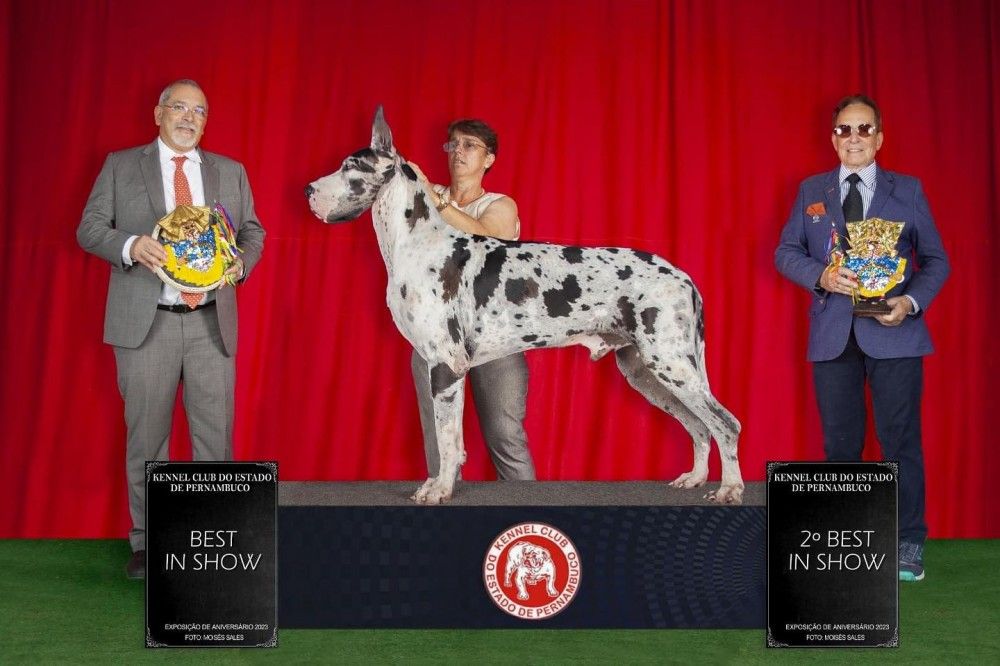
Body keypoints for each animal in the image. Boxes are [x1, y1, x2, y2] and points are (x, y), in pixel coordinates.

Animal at [306, 107, 743, 505]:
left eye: (350, 166)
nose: (308, 190)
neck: (417, 241)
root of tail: (684, 277)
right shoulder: (442, 366)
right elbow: (453, 440)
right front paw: (440, 484)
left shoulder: (445, 365)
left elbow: (447, 441)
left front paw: (441, 489)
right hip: (646, 371)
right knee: (699, 426)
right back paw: (694, 478)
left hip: (671, 362)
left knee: (725, 423)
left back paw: (730, 488)